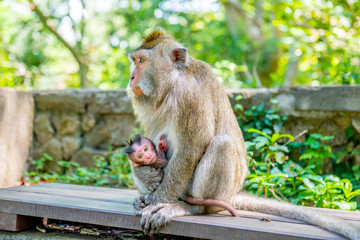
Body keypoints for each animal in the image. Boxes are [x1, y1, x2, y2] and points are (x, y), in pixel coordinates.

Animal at [126, 31, 360, 239]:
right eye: (135, 61)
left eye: (142, 61)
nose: (131, 77)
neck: (173, 83)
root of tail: (231, 195)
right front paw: (144, 174)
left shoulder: (189, 95)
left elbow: (190, 151)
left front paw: (157, 201)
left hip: (219, 193)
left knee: (222, 144)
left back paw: (190, 207)